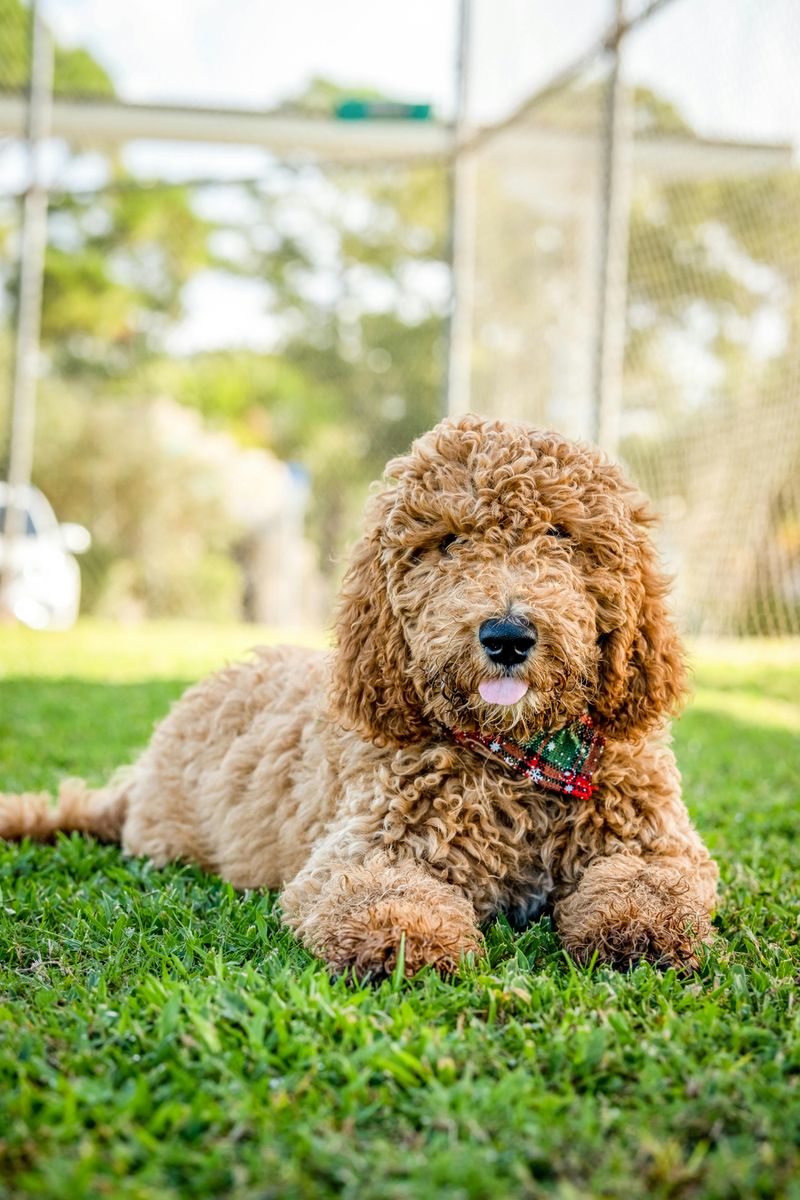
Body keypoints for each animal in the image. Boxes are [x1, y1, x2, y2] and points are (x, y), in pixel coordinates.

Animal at [0, 417, 714, 979]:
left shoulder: (657, 843)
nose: (507, 636)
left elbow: (651, 886)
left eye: (563, 535)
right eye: (449, 542)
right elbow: (379, 894)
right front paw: (409, 945)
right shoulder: (364, 847)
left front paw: (639, 933)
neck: (523, 757)